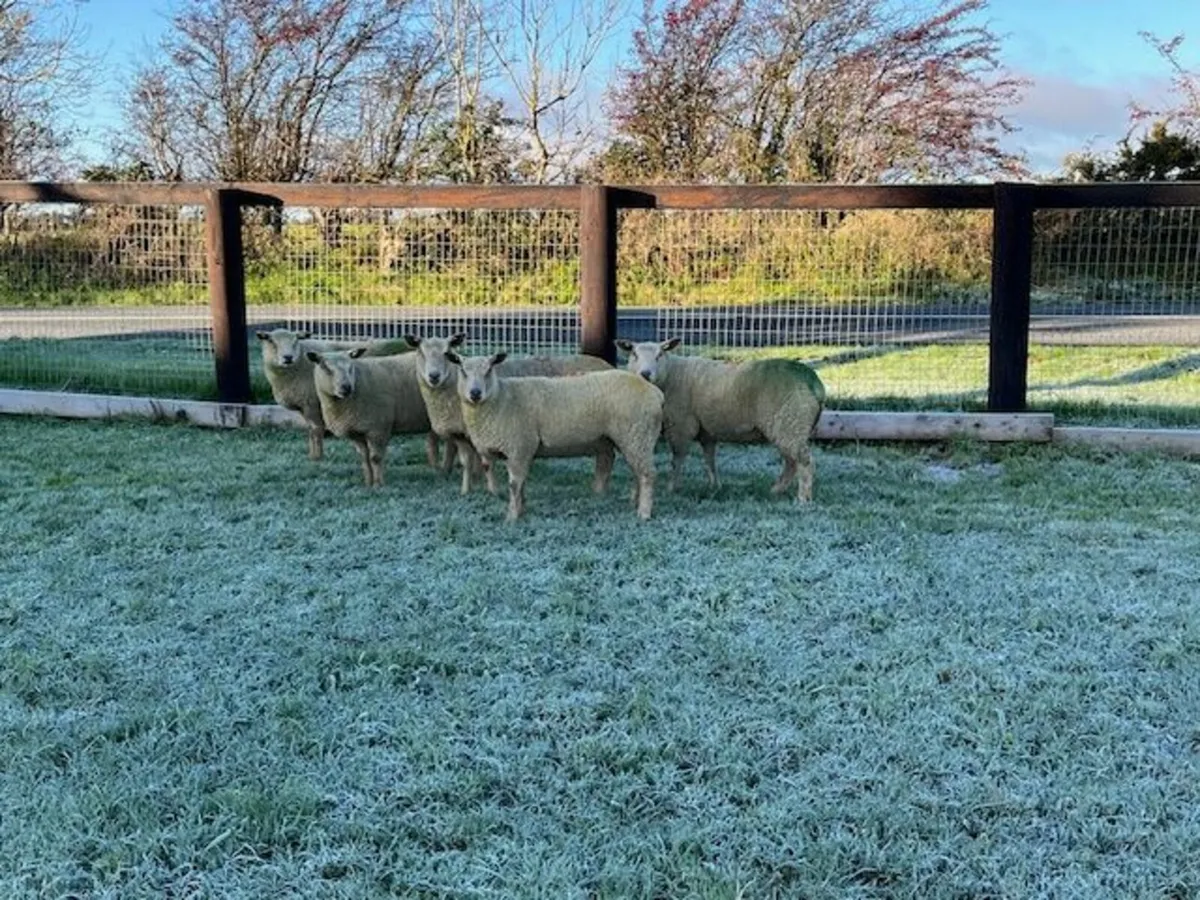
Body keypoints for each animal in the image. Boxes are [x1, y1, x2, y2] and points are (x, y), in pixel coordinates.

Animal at [256, 328, 413, 461]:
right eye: (271, 341)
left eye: (295, 341)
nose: (288, 357)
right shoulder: (305, 406)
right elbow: (310, 430)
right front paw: (312, 454)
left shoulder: (312, 404)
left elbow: (315, 429)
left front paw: (317, 457)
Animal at [306, 347, 441, 487]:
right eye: (325, 367)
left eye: (351, 367)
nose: (346, 387)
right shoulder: (356, 432)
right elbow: (365, 459)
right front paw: (368, 482)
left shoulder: (378, 428)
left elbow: (375, 458)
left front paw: (378, 484)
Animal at [405, 332, 613, 495]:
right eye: (420, 352)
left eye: (447, 352)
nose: (434, 376)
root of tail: (608, 365)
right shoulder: (462, 435)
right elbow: (467, 462)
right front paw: (466, 490)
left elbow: (481, 463)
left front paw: (483, 486)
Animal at [446, 351, 664, 521]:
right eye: (462, 371)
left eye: (489, 370)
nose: (475, 393)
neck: (502, 398)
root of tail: (655, 393)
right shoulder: (522, 451)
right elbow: (521, 484)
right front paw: (521, 509)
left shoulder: (518, 447)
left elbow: (514, 484)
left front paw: (512, 517)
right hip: (635, 439)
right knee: (638, 472)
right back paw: (634, 503)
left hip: (637, 435)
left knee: (648, 474)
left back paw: (644, 513)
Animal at [615, 338, 825, 501]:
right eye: (634, 354)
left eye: (660, 355)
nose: (645, 374)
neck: (672, 375)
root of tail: (814, 382)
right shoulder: (706, 431)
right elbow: (710, 459)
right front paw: (715, 486)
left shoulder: (681, 425)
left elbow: (677, 459)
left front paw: (671, 488)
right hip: (787, 427)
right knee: (791, 462)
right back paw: (776, 490)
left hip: (790, 423)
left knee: (805, 461)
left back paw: (803, 498)